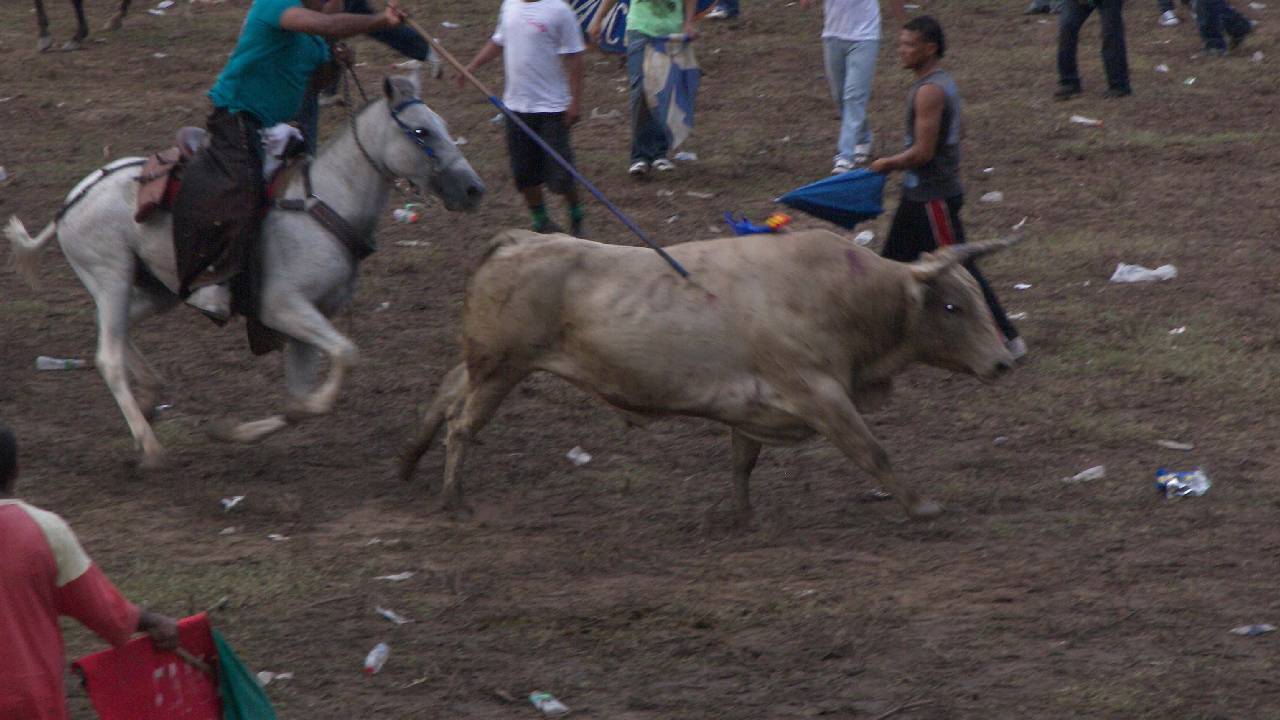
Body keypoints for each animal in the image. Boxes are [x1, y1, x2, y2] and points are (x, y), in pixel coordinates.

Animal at [6, 75, 483, 468]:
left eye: (441, 125)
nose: (473, 189)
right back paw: (151, 446)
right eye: (421, 131)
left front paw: (232, 431)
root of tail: (71, 202)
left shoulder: (310, 322)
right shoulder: (282, 308)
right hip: (112, 276)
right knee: (108, 356)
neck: (325, 203)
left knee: (119, 332)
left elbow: (302, 401)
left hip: (156, 290)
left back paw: (150, 396)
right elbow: (345, 355)